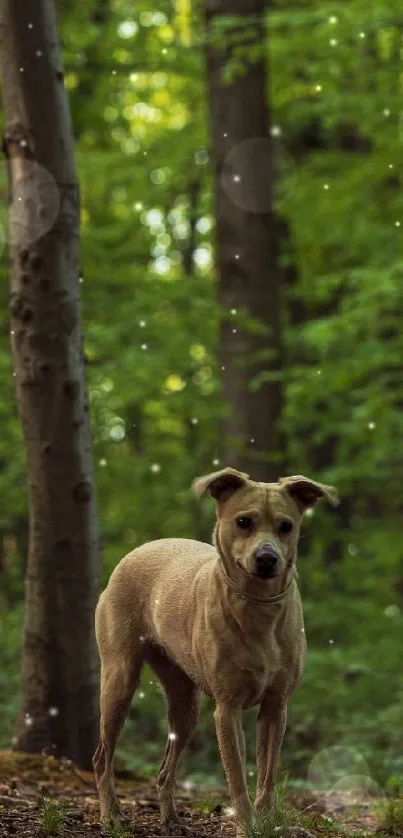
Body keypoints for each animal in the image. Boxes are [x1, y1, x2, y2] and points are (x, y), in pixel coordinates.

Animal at [93, 470, 340, 836]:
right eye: (243, 522)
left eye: (286, 526)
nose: (267, 559)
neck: (258, 608)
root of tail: (140, 548)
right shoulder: (227, 707)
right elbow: (236, 776)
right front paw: (247, 825)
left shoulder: (276, 706)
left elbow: (267, 774)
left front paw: (266, 822)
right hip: (119, 681)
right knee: (102, 757)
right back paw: (111, 815)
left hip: (185, 703)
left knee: (165, 769)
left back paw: (171, 819)